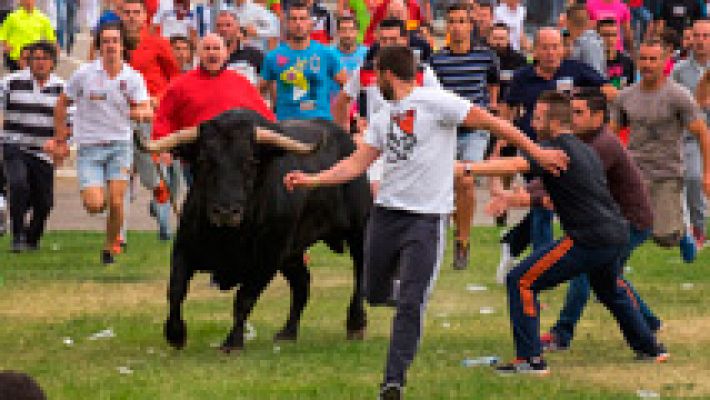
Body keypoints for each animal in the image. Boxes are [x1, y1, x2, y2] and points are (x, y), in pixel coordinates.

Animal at [160, 109, 372, 354]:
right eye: (203, 160)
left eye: (251, 162)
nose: (226, 211)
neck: (229, 236)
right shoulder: (184, 248)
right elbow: (175, 290)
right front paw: (175, 334)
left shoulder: (266, 260)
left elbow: (244, 299)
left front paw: (232, 342)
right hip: (292, 253)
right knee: (302, 284)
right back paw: (288, 332)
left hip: (359, 231)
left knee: (360, 273)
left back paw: (355, 323)